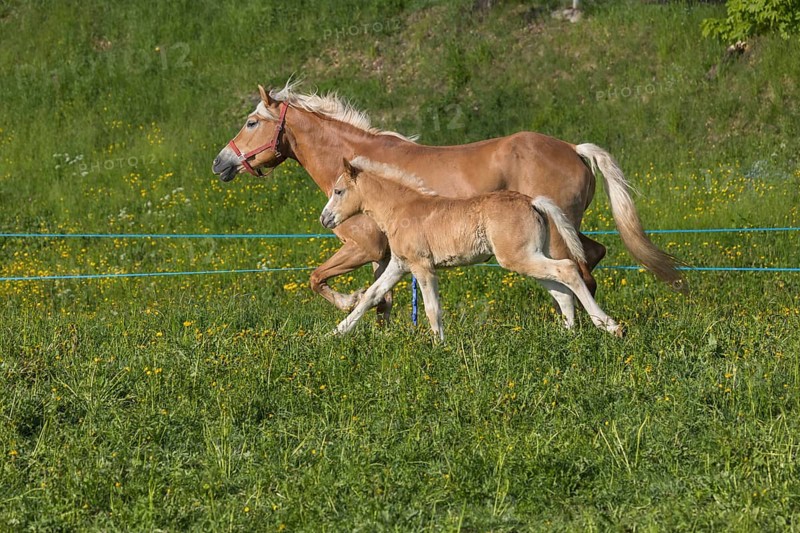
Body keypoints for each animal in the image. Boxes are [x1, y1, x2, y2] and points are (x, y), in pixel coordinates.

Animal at [212, 82, 683, 319]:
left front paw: (349, 303)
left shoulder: (363, 247)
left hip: (554, 233)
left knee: (579, 269)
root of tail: (574, 148)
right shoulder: (390, 257)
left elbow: (318, 279)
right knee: (591, 258)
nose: (220, 163)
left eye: (251, 122)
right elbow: (381, 300)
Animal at [320, 157, 624, 340]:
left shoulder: (422, 266)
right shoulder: (399, 265)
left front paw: (439, 345)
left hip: (519, 257)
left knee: (569, 270)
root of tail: (532, 201)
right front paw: (335, 333)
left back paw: (609, 326)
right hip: (531, 256)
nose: (325, 219)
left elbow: (432, 308)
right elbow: (370, 296)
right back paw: (568, 334)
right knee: (560, 289)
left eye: (338, 191)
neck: (402, 209)